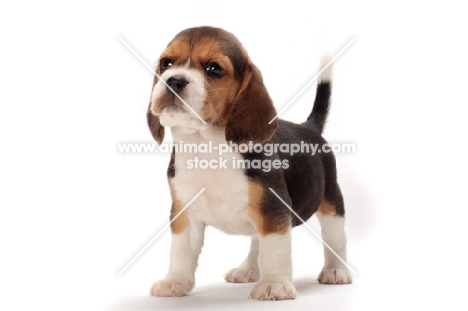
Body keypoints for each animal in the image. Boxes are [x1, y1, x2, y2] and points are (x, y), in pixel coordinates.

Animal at [146, 27, 352, 302]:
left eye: (214, 68)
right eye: (166, 63)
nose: (174, 81)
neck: (206, 146)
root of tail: (309, 127)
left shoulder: (273, 209)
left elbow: (274, 251)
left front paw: (274, 284)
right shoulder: (184, 213)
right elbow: (181, 252)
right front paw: (174, 282)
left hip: (331, 201)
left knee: (334, 237)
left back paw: (336, 270)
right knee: (256, 242)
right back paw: (248, 269)